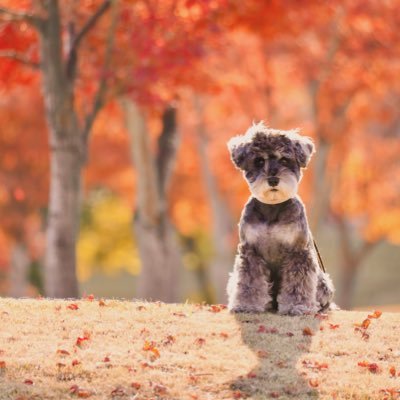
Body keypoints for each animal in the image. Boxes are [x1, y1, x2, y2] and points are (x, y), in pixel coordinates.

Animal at [225, 122, 334, 316]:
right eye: (259, 161)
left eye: (285, 160)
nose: (273, 179)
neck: (272, 207)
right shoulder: (250, 251)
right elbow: (249, 282)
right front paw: (246, 305)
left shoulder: (298, 252)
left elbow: (297, 282)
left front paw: (297, 306)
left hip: (323, 282)